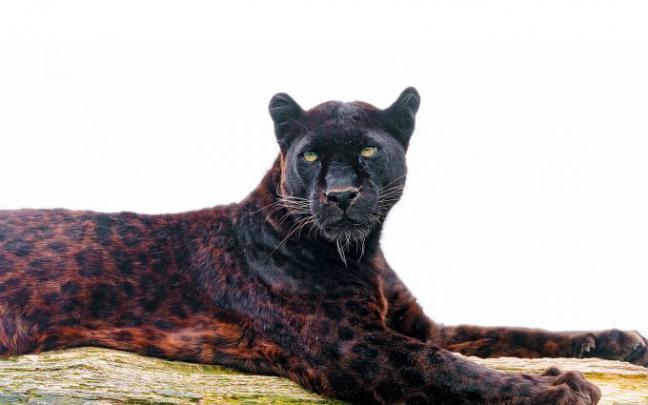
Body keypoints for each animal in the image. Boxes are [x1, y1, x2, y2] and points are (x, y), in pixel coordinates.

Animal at [0, 87, 645, 404]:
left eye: (367, 150)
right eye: (311, 154)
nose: (339, 194)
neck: (366, 254)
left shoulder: (417, 326)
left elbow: (513, 333)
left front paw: (618, 342)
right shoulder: (352, 346)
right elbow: (451, 368)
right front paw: (559, 387)